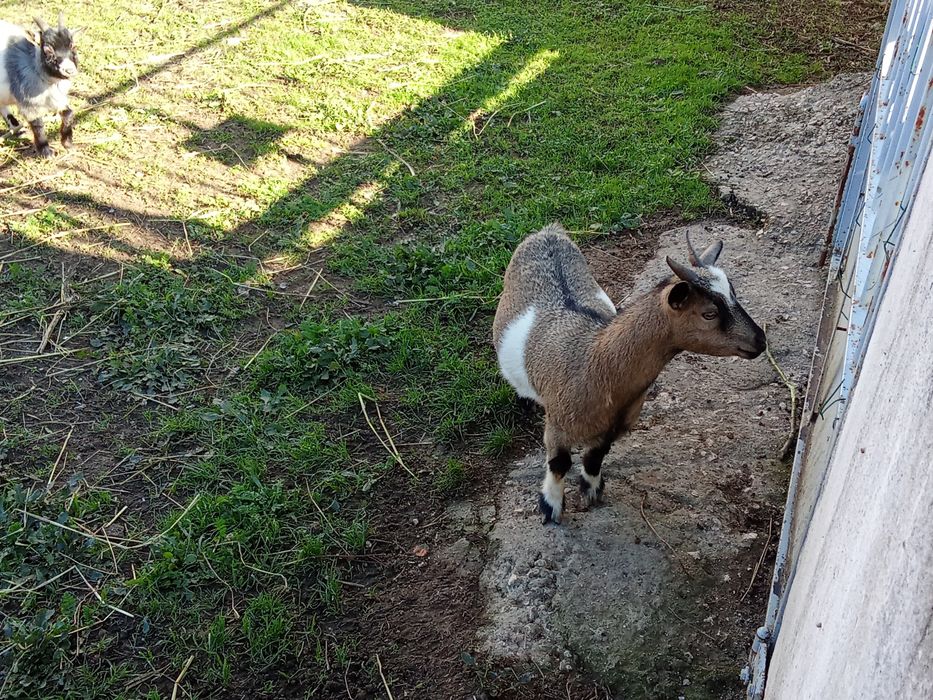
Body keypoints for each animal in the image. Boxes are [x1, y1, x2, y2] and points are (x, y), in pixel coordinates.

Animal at [0, 13, 81, 157]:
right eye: (48, 49)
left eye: (73, 46)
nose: (69, 70)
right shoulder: (28, 101)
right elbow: (38, 124)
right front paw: (46, 152)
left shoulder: (56, 97)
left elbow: (69, 113)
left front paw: (68, 144)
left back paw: (18, 130)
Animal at [492, 223, 766, 524]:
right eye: (709, 314)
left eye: (734, 296)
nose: (760, 341)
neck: (595, 364)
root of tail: (548, 232)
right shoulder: (557, 424)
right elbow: (559, 463)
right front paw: (550, 508)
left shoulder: (616, 426)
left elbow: (595, 456)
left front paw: (592, 491)